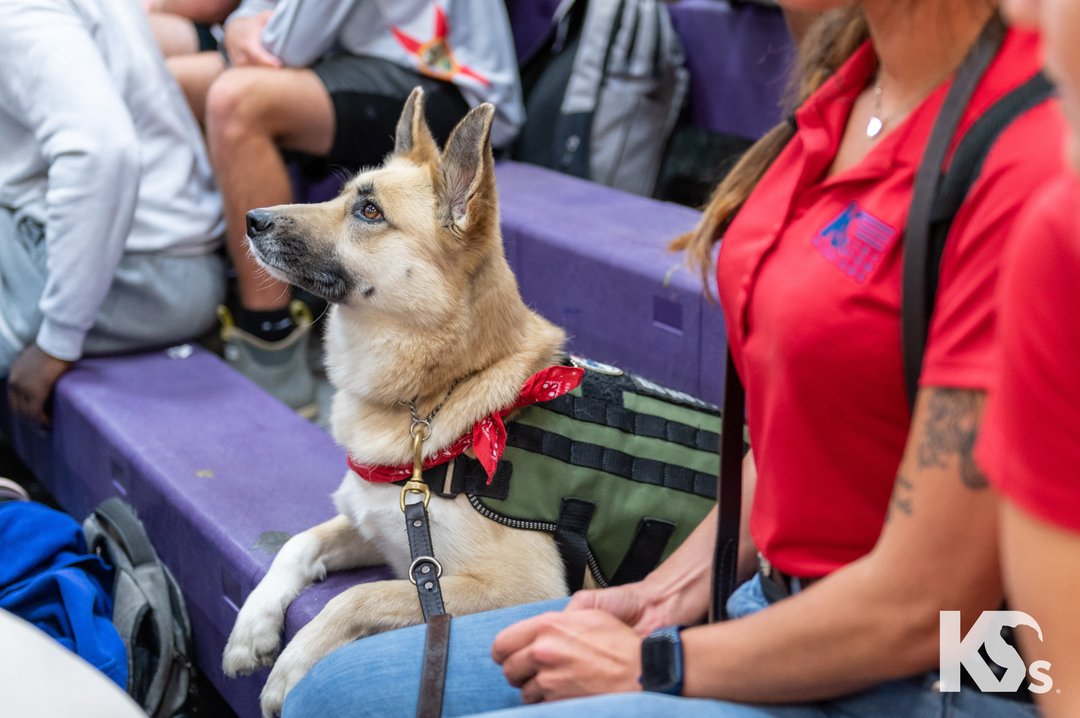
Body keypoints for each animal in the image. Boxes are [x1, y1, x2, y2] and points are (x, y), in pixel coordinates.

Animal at [221, 91, 583, 716]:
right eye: (341, 195)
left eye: (369, 212)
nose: (251, 220)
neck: (443, 389)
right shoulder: (380, 529)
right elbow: (299, 542)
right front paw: (253, 626)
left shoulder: (519, 590)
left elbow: (361, 596)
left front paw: (294, 668)